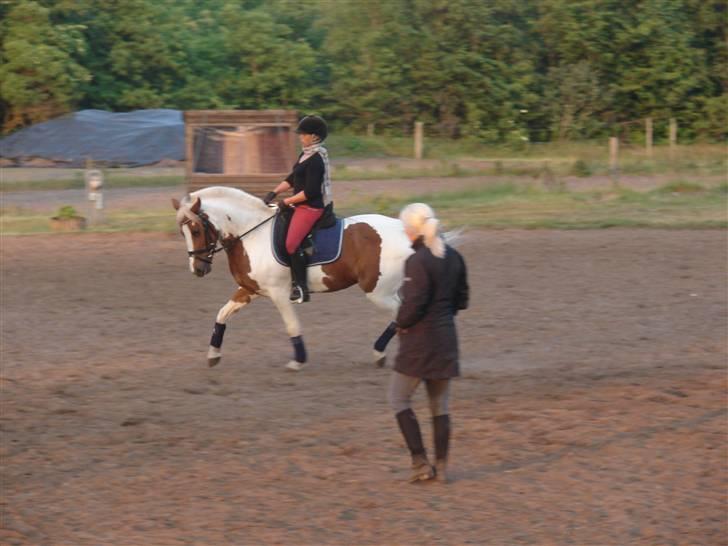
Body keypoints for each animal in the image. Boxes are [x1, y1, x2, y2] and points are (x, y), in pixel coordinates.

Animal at [168, 186, 412, 370]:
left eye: (196, 231)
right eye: (182, 233)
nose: (198, 269)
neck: (251, 233)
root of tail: (405, 231)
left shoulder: (279, 293)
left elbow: (292, 326)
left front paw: (298, 360)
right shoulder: (250, 289)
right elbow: (222, 314)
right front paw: (213, 354)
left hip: (378, 291)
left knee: (401, 314)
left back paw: (381, 353)